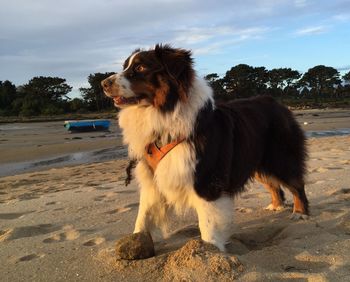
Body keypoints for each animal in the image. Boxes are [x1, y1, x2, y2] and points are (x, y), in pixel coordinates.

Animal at [101, 44, 308, 251]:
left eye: (141, 67)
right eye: (125, 66)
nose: (104, 83)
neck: (164, 113)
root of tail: (277, 103)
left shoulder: (206, 180)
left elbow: (208, 226)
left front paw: (208, 252)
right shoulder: (152, 178)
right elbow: (142, 215)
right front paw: (135, 240)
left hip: (280, 158)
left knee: (296, 184)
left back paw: (300, 212)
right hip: (254, 161)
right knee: (273, 184)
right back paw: (276, 206)